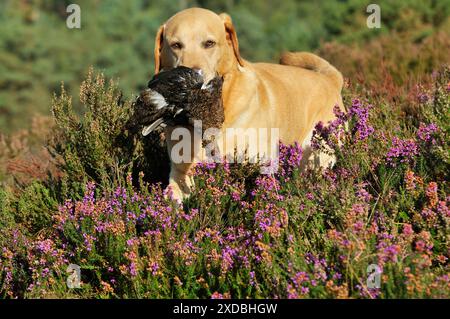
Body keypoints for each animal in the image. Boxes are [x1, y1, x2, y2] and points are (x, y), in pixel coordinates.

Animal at [153, 7, 342, 200]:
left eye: (209, 43)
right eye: (176, 45)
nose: (192, 78)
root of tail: (329, 79)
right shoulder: (180, 174)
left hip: (317, 156)